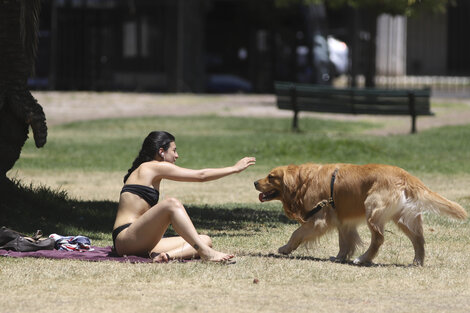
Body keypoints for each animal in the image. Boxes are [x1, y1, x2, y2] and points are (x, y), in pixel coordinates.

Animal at [255, 162, 468, 264]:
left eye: (271, 177)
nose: (255, 182)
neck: (303, 181)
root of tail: (405, 175)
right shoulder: (342, 220)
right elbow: (344, 242)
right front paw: (340, 257)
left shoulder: (318, 219)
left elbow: (296, 233)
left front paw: (285, 248)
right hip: (401, 218)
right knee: (419, 239)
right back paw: (417, 261)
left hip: (372, 209)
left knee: (379, 239)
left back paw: (363, 259)